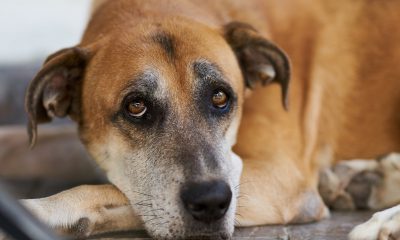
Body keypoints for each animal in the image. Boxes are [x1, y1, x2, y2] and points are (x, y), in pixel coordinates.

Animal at [9, 0, 400, 240]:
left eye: (221, 97)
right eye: (136, 106)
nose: (212, 201)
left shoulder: (282, 179)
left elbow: (114, 191)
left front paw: (39, 210)